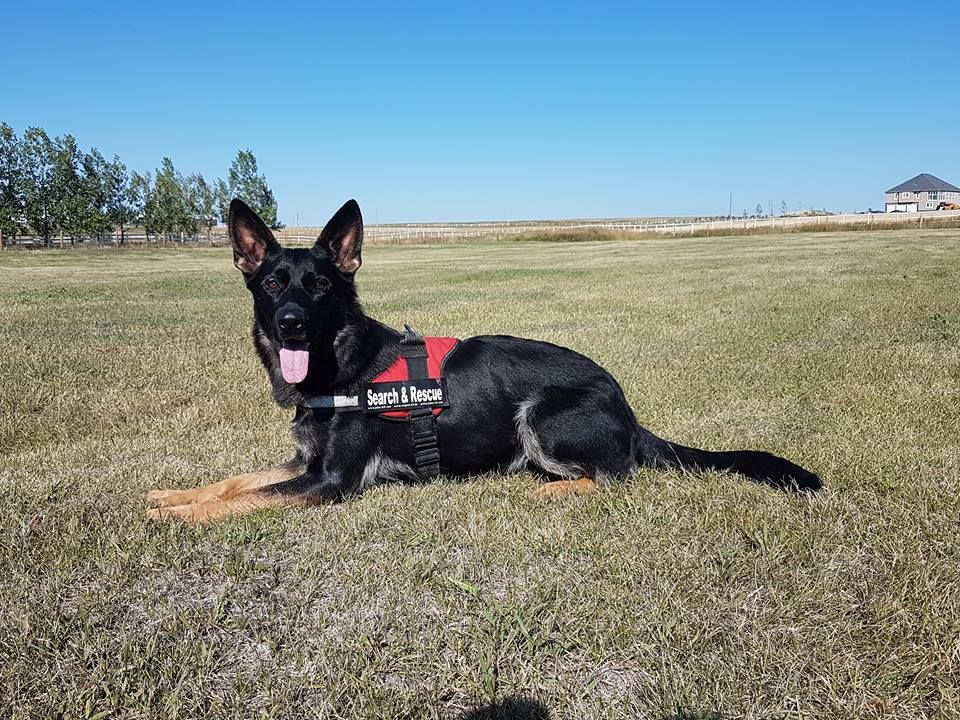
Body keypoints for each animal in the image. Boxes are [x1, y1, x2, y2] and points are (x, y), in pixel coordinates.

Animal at [147, 199, 821, 523]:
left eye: (319, 287)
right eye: (271, 284)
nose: (289, 324)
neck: (342, 364)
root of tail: (626, 406)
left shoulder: (328, 481)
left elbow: (246, 499)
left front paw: (185, 518)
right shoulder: (302, 464)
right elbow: (238, 480)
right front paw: (175, 496)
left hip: (542, 414)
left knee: (615, 477)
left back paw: (544, 491)